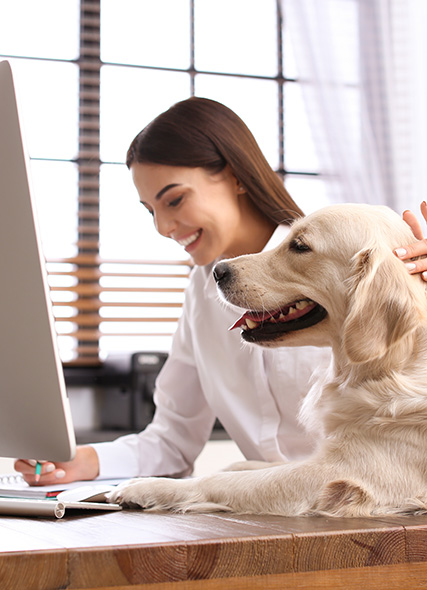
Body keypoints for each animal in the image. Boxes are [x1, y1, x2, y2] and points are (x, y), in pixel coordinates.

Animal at [110, 205, 427, 520]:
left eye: (300, 246)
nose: (217, 271)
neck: (391, 364)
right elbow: (260, 465)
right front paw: (237, 464)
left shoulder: (347, 474)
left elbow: (222, 481)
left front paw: (146, 486)